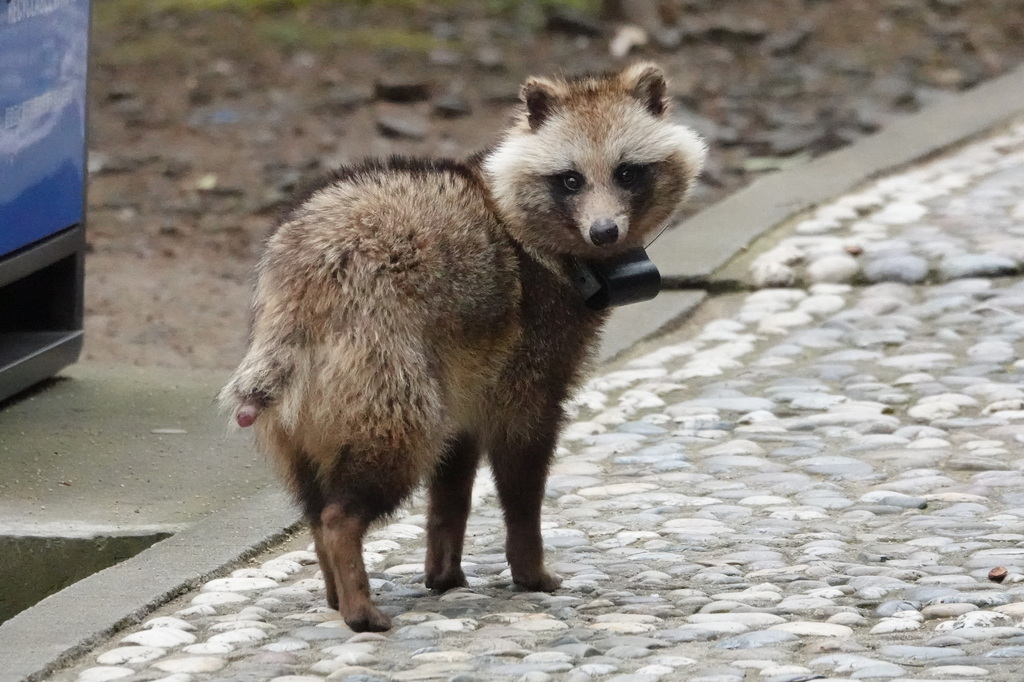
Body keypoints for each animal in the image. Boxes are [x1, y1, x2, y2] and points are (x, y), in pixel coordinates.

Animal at [220, 62, 706, 632]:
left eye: (628, 173)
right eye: (571, 180)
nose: (604, 231)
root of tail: (301, 287)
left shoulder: (469, 365)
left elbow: (452, 485)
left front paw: (444, 568)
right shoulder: (530, 351)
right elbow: (521, 471)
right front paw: (528, 565)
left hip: (307, 414)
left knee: (317, 506)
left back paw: (335, 588)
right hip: (386, 368)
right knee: (361, 488)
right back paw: (355, 593)